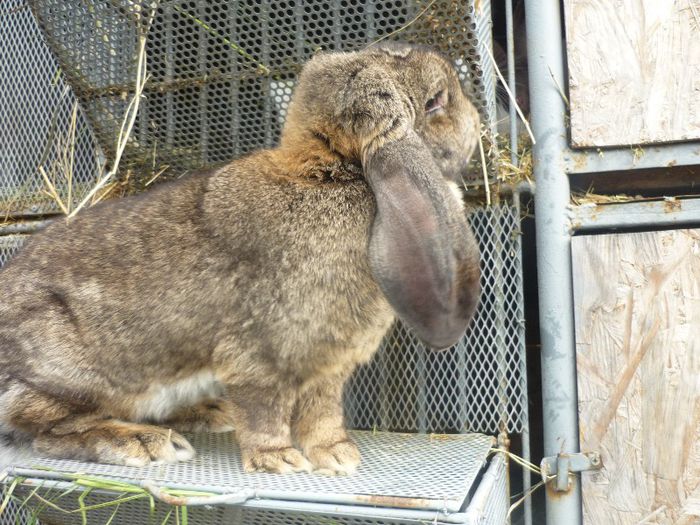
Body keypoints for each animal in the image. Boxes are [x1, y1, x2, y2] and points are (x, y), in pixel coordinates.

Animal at [0, 42, 482, 474]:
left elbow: (322, 413)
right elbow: (264, 410)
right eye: (436, 102)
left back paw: (211, 414)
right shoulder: (261, 355)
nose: (477, 120)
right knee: (45, 429)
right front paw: (280, 461)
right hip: (77, 374)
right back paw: (145, 443)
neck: (334, 174)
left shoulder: (328, 368)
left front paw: (337, 457)